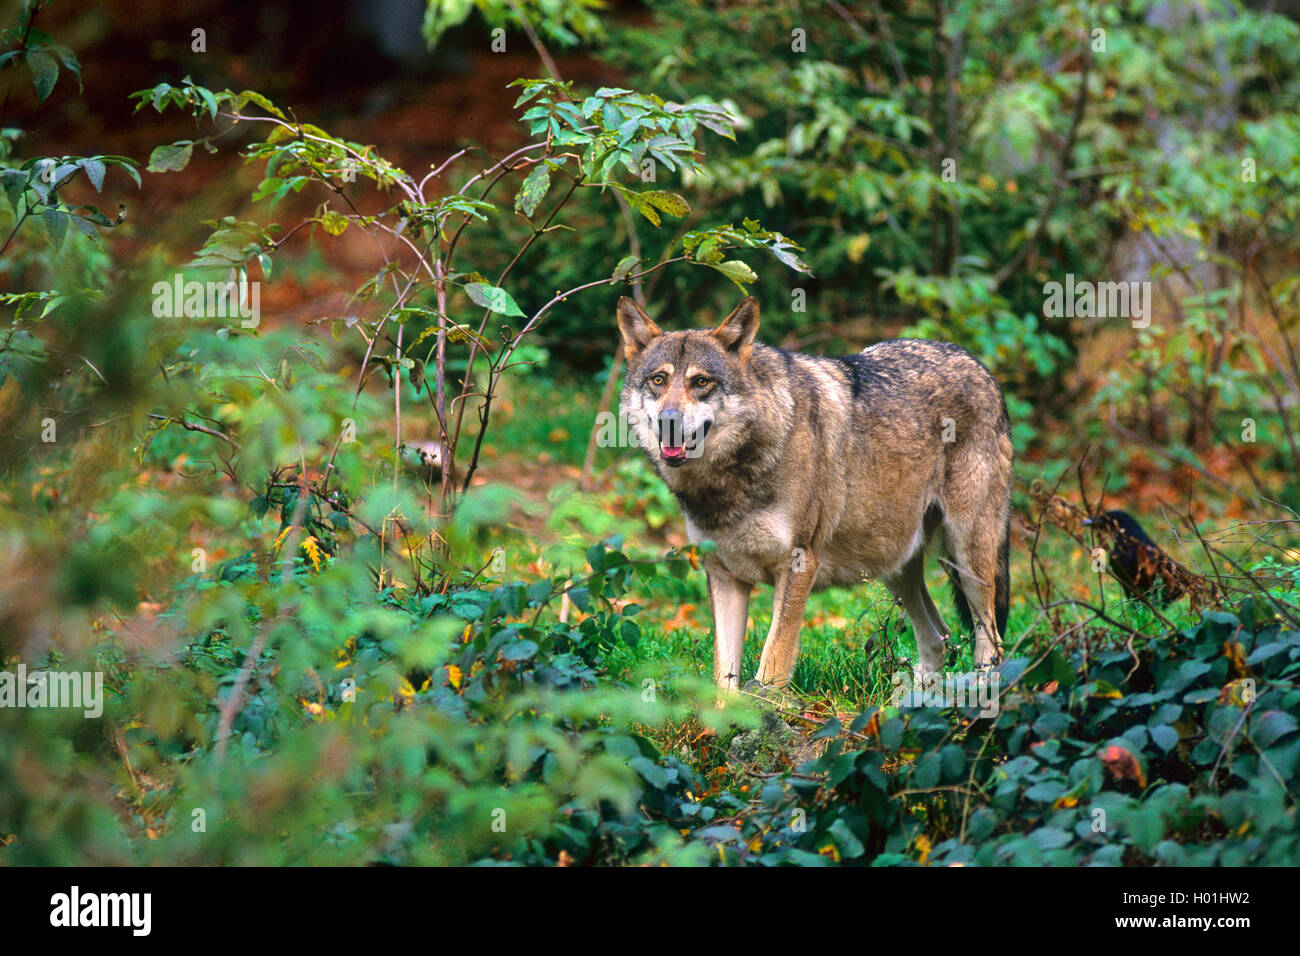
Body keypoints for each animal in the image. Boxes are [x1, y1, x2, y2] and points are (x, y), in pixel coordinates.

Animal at [618, 295, 1013, 691]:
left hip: (967, 557)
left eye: (700, 381)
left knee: (991, 643)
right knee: (938, 638)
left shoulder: (798, 564)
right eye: (658, 380)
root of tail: (980, 366)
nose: (669, 421)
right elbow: (724, 683)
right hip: (893, 562)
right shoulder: (724, 576)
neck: (727, 483)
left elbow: (772, 665)